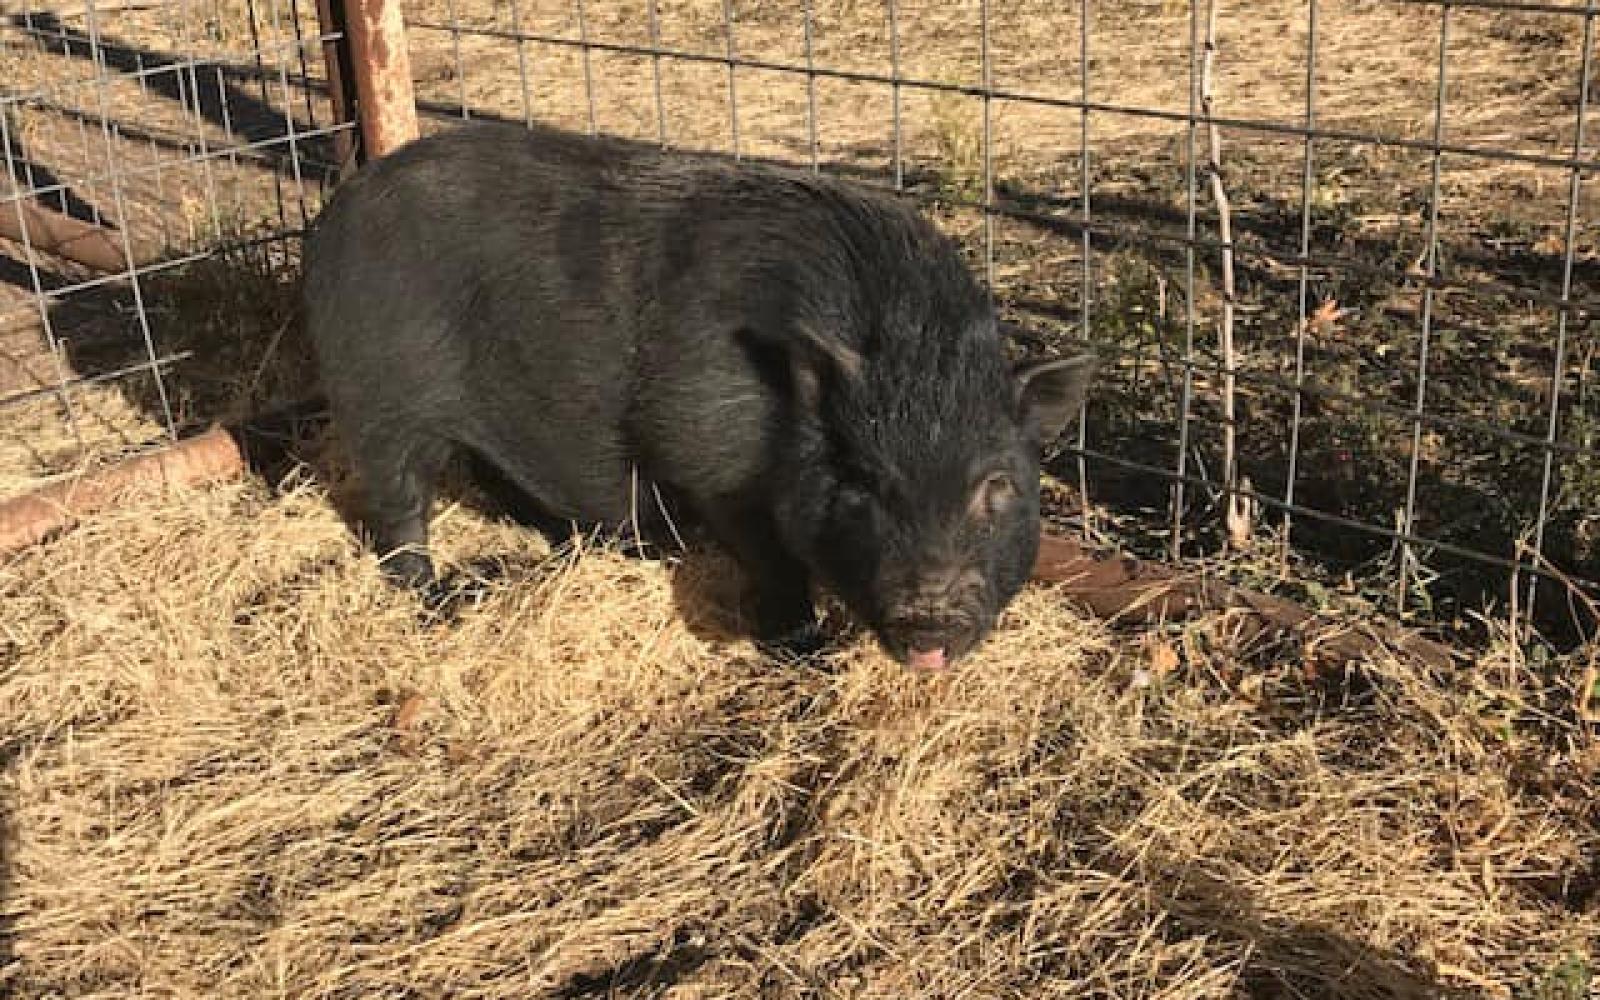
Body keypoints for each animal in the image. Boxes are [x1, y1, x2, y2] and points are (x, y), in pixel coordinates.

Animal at [302, 121, 1094, 669]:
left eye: (997, 484)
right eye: (859, 483)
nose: (927, 616)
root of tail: (335, 211)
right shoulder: (709, 459)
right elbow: (772, 564)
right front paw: (806, 651)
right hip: (378, 401)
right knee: (399, 505)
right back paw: (440, 602)